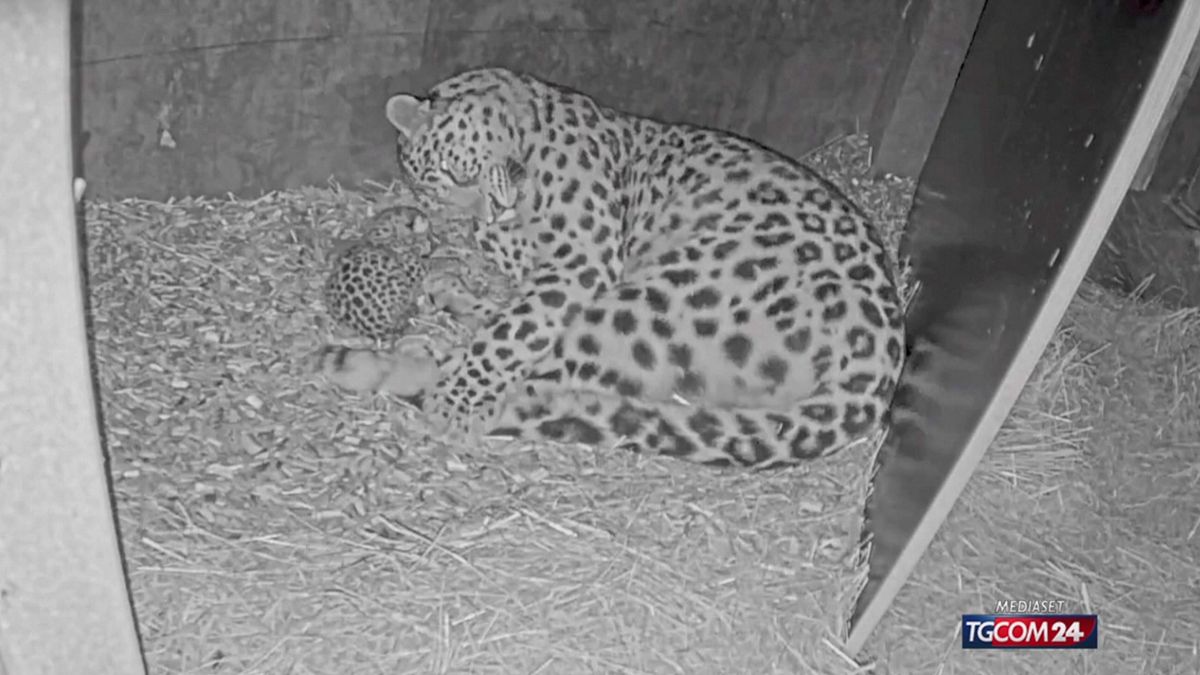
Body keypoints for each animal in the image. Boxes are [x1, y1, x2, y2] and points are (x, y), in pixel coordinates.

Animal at [321, 67, 906, 469]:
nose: (493, 211)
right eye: (441, 189)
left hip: (660, 294)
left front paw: (457, 401)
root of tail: (880, 353)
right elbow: (520, 303)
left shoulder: (582, 257)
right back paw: (441, 305)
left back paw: (392, 368)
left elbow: (517, 328)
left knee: (543, 374)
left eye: (450, 171)